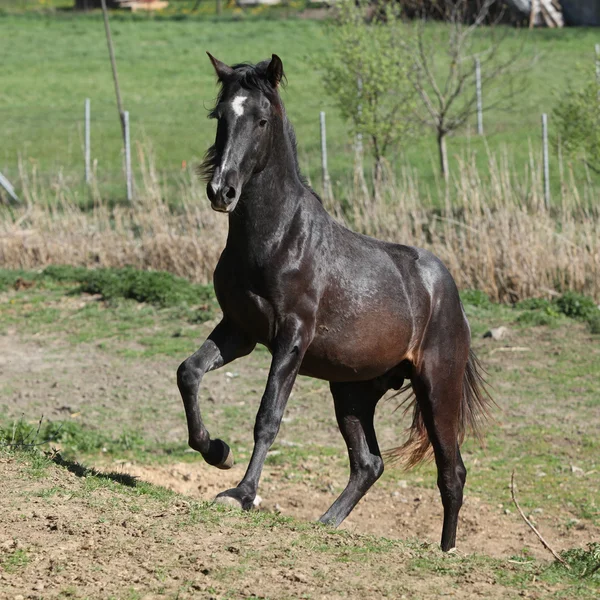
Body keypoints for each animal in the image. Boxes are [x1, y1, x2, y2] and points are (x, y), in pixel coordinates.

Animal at [175, 54, 492, 552]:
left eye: (261, 120)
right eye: (220, 116)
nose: (222, 191)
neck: (276, 240)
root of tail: (447, 289)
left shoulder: (292, 337)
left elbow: (268, 417)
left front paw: (241, 494)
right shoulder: (239, 331)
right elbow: (188, 372)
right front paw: (217, 452)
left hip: (437, 385)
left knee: (451, 471)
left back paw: (448, 551)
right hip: (353, 392)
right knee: (369, 463)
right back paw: (325, 523)